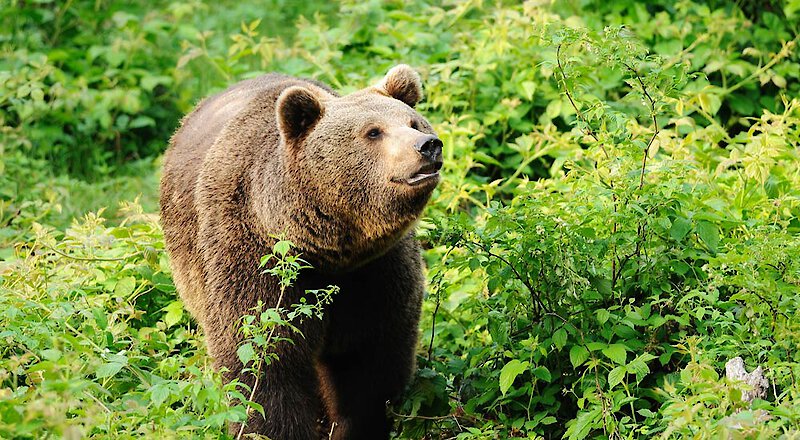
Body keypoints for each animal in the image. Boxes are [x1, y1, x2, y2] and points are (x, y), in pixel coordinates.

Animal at [159, 66, 440, 440]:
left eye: (413, 122)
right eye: (373, 132)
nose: (428, 145)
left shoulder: (375, 273)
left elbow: (367, 367)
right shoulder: (257, 263)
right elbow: (263, 360)